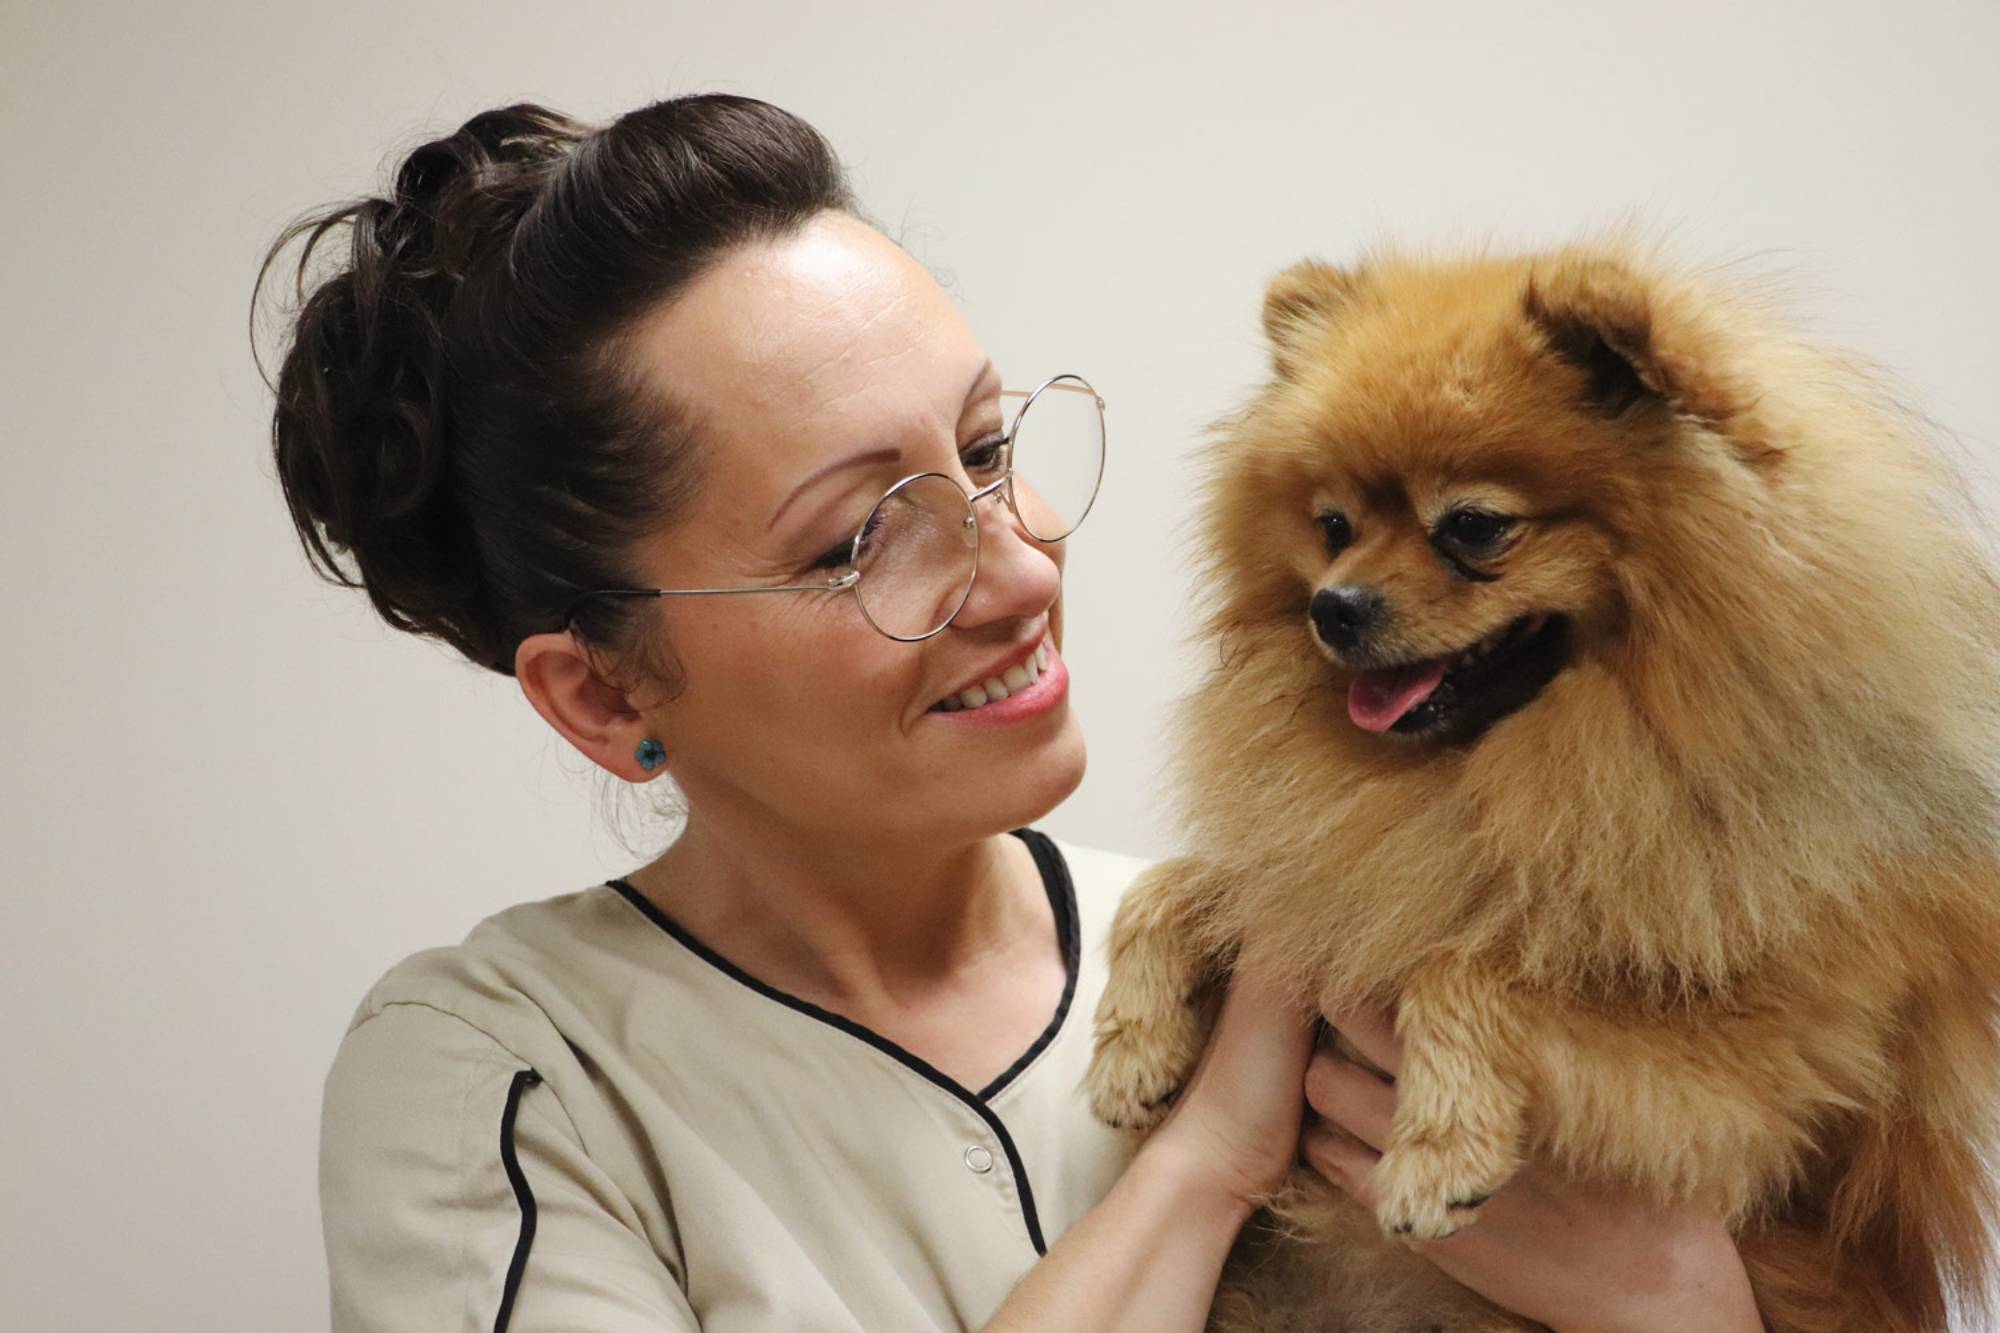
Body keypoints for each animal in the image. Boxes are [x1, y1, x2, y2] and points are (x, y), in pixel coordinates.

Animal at [1088, 239, 2000, 1328]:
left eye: (1474, 526)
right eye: (1333, 525)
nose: (1332, 605)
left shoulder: (1771, 1059)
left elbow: (1463, 968)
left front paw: (1437, 1149)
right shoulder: (1336, 876)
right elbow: (1175, 884)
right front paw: (1129, 1042)